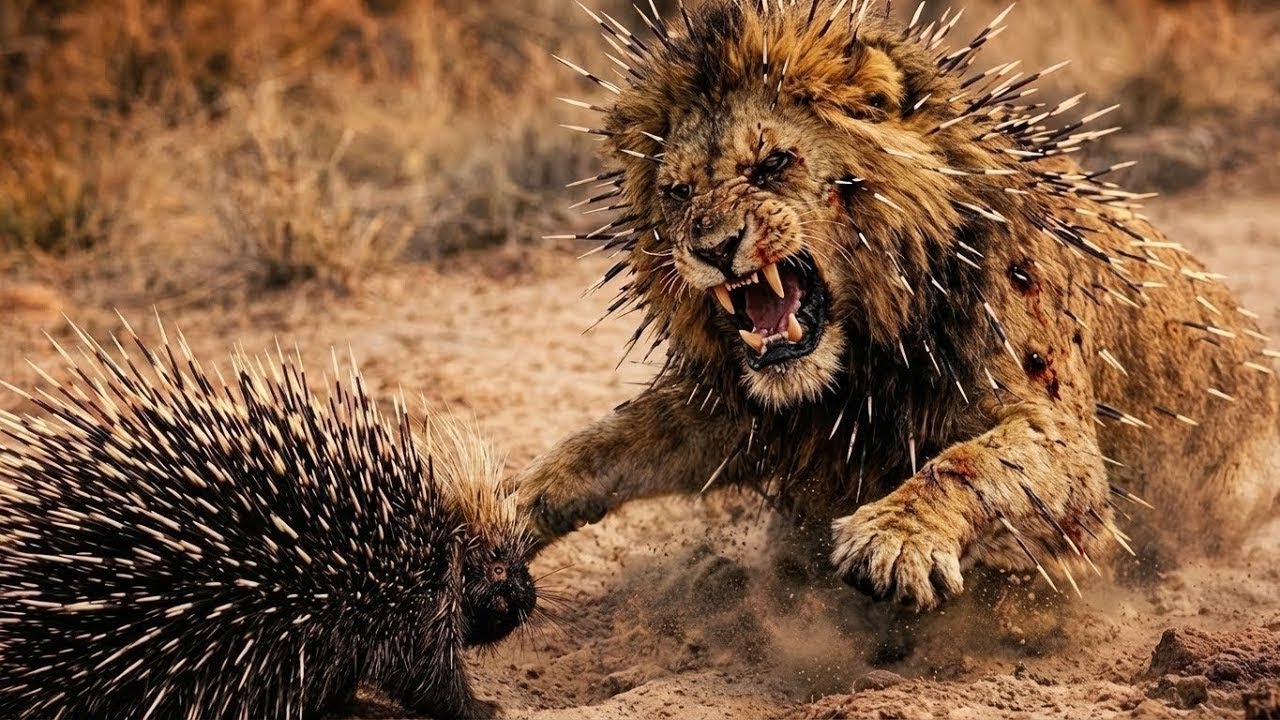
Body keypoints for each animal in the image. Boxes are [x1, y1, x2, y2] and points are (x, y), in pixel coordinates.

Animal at [516, 0, 1280, 608]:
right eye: (675, 193)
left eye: (772, 164)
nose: (712, 247)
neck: (866, 349)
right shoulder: (748, 407)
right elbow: (613, 441)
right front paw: (512, 509)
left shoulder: (1061, 433)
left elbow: (974, 461)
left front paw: (894, 536)